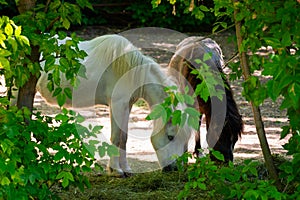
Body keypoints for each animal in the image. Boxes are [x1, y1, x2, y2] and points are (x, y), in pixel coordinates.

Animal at [37, 34, 192, 177]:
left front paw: (126, 169)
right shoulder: (117, 105)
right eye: (170, 137)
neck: (131, 71)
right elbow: (116, 138)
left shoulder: (127, 106)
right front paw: (116, 170)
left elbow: (124, 138)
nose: (174, 168)